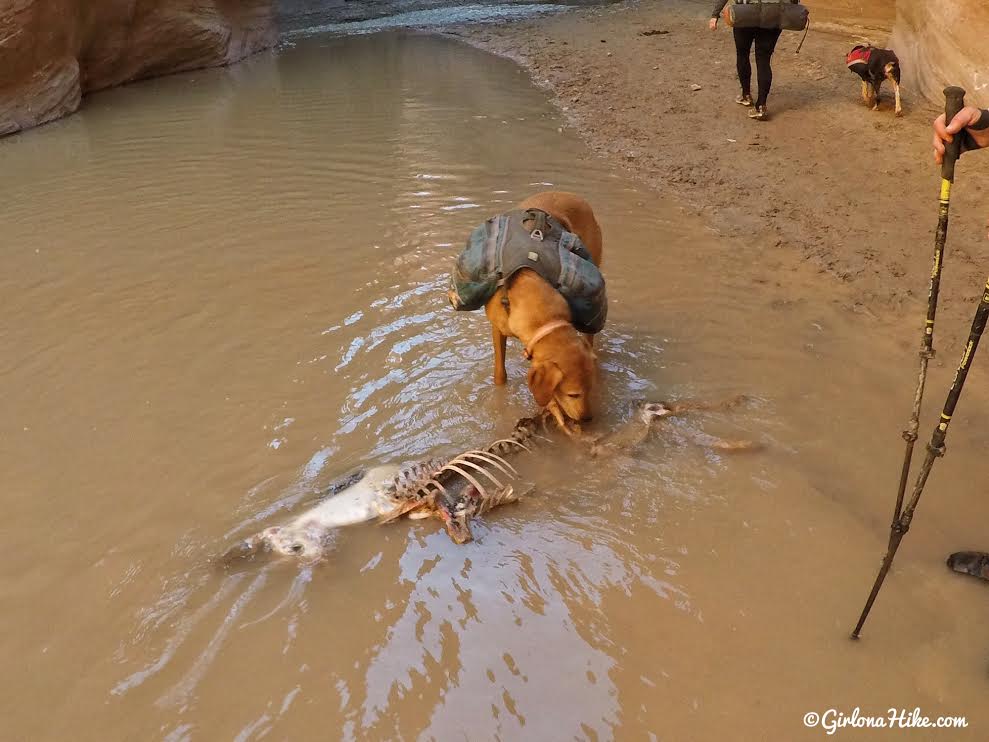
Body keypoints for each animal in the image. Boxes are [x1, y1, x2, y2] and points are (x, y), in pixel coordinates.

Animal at [480, 189, 600, 428]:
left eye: (590, 389)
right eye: (573, 394)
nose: (588, 419)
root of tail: (572, 195)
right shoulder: (497, 328)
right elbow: (500, 373)